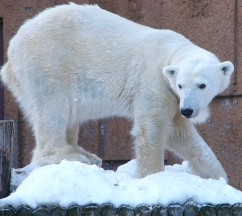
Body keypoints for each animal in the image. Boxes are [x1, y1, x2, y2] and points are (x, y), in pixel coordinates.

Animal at [0, 3, 233, 182]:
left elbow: (179, 131)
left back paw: (85, 153)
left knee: (69, 116)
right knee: (52, 108)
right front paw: (152, 175)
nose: (188, 110)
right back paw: (73, 155)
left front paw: (218, 175)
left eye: (202, 85)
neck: (170, 53)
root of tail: (11, 51)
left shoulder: (172, 97)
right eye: (181, 84)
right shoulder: (153, 83)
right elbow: (153, 127)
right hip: (47, 63)